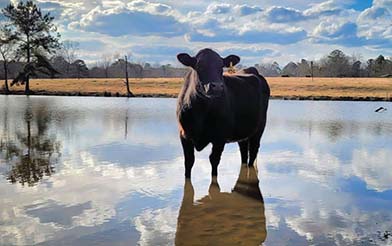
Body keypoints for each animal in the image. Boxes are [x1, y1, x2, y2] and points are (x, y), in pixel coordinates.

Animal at [177, 48, 270, 179]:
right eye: (199, 65)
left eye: (221, 66)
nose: (217, 87)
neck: (201, 111)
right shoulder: (184, 135)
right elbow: (189, 162)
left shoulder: (219, 138)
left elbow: (214, 161)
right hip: (243, 133)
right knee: (244, 153)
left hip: (259, 129)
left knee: (252, 153)